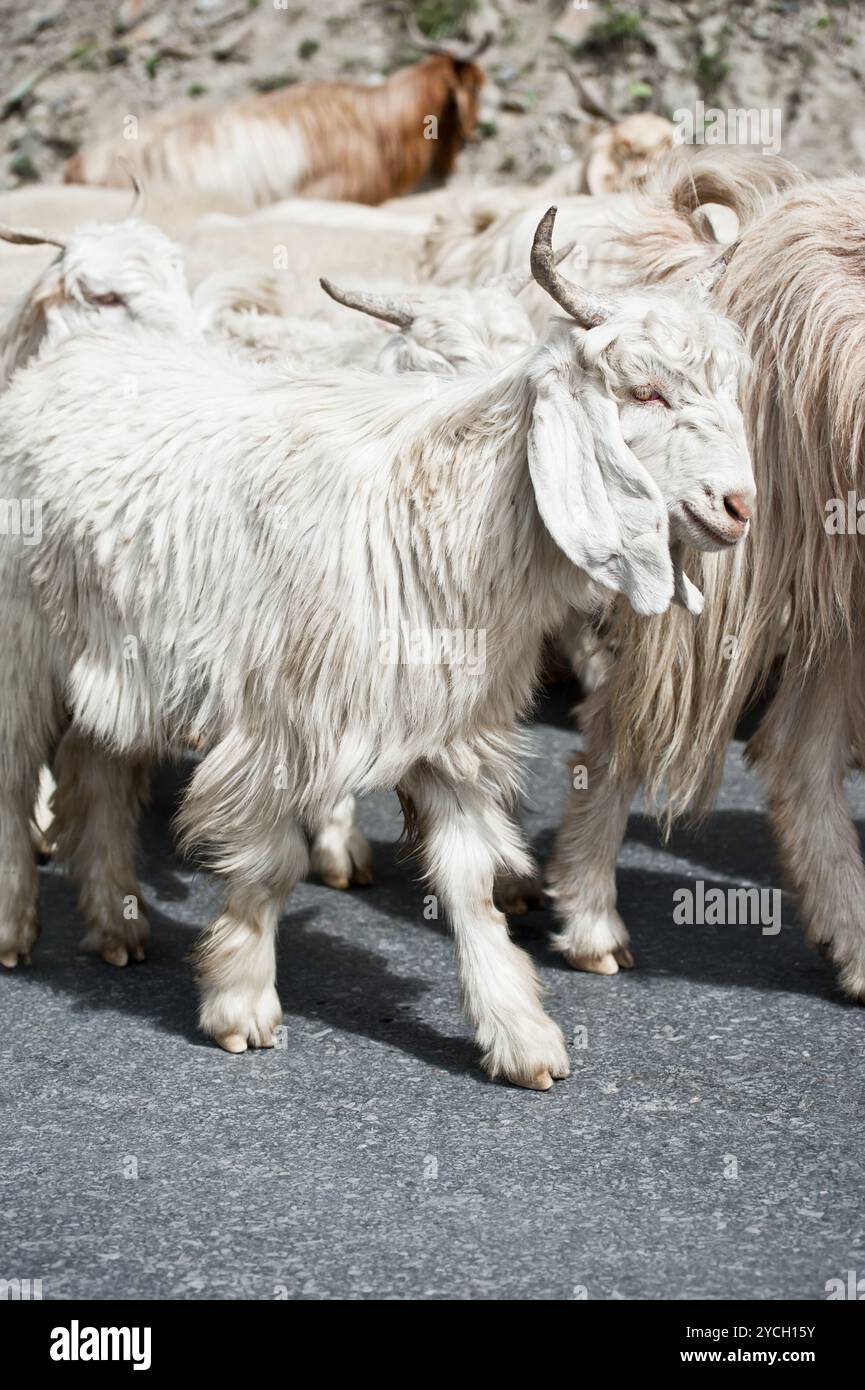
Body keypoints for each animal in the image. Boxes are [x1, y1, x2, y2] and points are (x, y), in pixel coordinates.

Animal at [0, 210, 753, 1088]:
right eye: (643, 391)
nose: (738, 505)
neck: (429, 510)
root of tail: (66, 361)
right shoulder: (278, 725)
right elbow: (268, 867)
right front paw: (241, 1003)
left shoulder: (446, 727)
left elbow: (468, 880)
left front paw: (517, 1031)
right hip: (22, 644)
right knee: (17, 774)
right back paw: (16, 924)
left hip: (116, 655)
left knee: (99, 768)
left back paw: (114, 921)